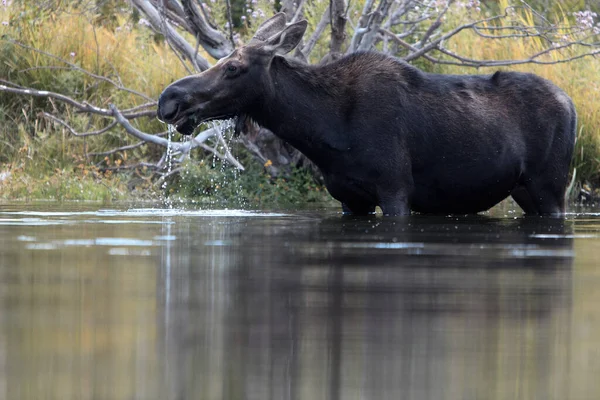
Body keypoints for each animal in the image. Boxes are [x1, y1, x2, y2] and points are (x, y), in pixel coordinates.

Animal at [158, 13, 576, 216]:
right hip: (523, 190)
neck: (323, 133)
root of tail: (572, 105)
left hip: (551, 187)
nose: (169, 99)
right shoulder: (349, 198)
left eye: (233, 67)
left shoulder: (396, 190)